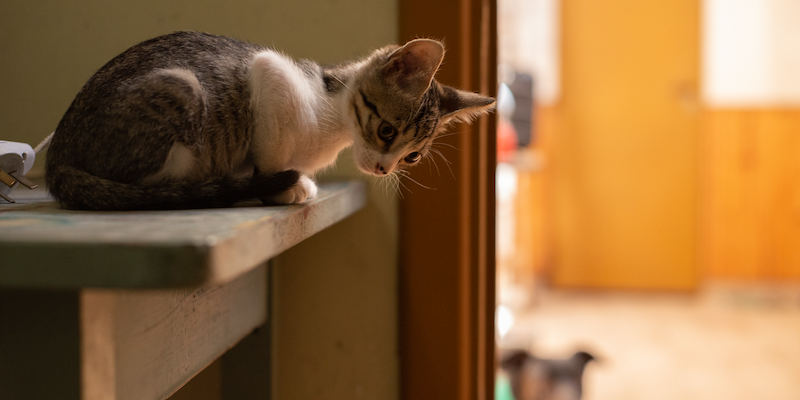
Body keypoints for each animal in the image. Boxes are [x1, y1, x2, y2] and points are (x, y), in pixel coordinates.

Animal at [45, 30, 494, 211]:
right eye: (386, 131)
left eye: (412, 157)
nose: (385, 169)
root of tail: (58, 155)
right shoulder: (269, 73)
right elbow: (271, 154)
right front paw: (282, 188)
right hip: (182, 88)